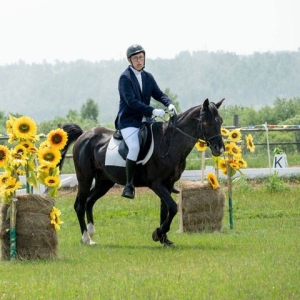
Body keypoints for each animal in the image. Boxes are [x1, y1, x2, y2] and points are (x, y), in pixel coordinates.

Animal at [58, 98, 224, 246]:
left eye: (220, 121)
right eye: (207, 123)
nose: (220, 149)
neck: (169, 143)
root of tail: (84, 134)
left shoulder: (168, 184)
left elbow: (165, 209)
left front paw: (164, 239)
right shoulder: (156, 184)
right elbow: (173, 207)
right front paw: (158, 233)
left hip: (104, 182)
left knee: (89, 201)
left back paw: (91, 233)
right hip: (85, 178)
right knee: (80, 204)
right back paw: (86, 238)